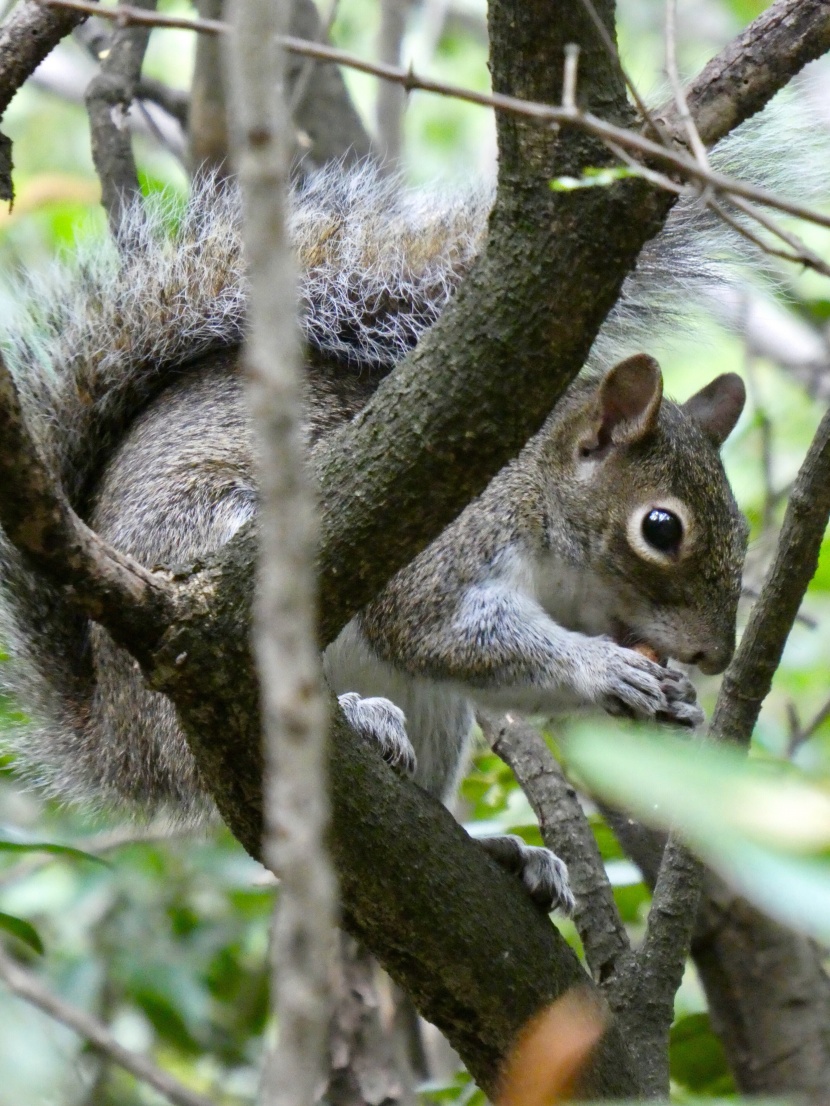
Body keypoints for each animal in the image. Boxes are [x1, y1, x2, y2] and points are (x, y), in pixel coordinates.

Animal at [0, 161, 752, 906]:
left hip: (436, 716)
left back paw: (505, 854)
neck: (539, 501)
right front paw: (601, 666)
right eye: (661, 528)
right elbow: (435, 629)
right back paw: (356, 716)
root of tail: (122, 743)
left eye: (743, 530)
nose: (715, 658)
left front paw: (678, 704)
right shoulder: (447, 545)